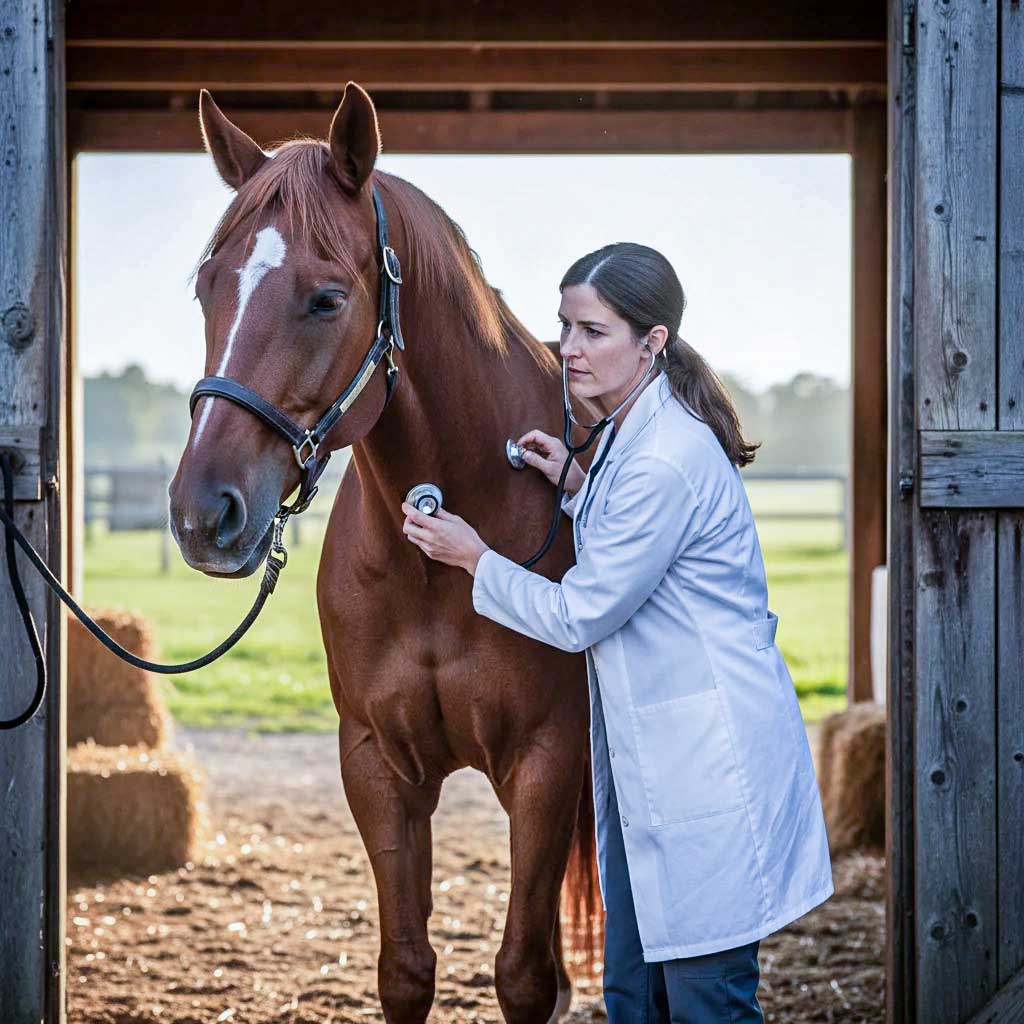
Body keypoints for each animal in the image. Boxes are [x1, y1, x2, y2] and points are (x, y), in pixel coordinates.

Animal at [168, 82, 604, 1022]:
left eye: (328, 299)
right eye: (207, 288)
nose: (200, 514)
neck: (437, 569)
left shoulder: (547, 762)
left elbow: (522, 974)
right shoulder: (377, 765)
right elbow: (405, 969)